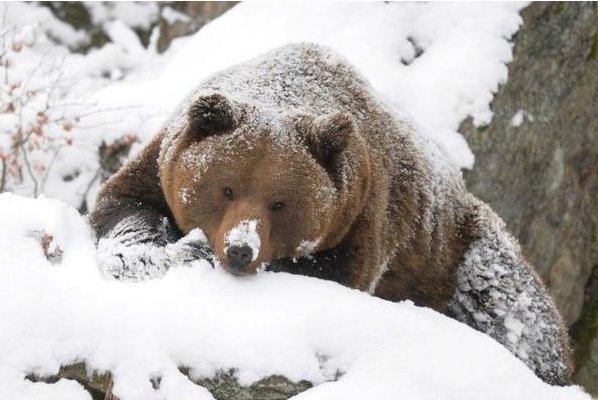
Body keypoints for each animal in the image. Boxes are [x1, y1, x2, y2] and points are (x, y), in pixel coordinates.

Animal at [91, 42, 576, 386]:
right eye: (226, 188)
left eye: (280, 202)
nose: (240, 250)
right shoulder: (162, 162)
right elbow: (124, 205)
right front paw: (146, 253)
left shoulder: (363, 213)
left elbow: (334, 274)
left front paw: (195, 252)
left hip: (458, 251)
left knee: (514, 310)